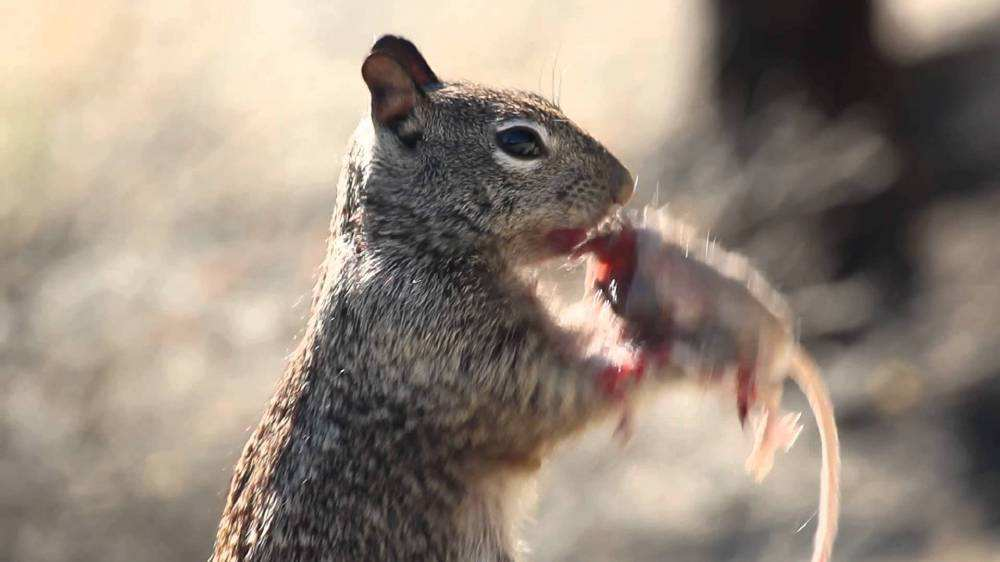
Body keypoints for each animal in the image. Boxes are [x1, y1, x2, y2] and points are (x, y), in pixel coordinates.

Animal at [211, 36, 648, 560]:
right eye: (519, 142)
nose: (626, 184)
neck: (409, 243)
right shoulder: (451, 349)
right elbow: (545, 394)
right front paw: (629, 360)